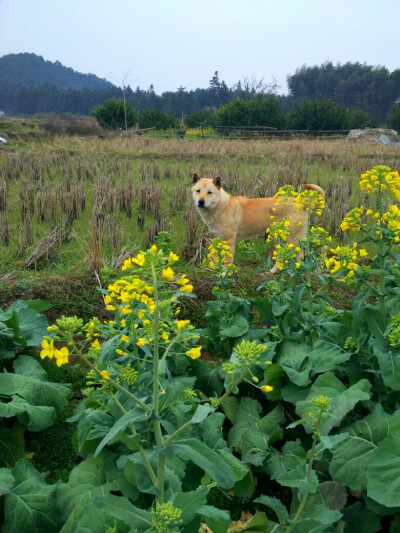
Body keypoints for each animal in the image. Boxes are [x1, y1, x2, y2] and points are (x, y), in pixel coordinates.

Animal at [192, 172, 326, 272]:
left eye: (209, 192)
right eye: (198, 191)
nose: (201, 201)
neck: (221, 206)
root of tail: (301, 202)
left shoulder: (229, 240)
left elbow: (227, 261)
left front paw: (224, 273)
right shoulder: (219, 238)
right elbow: (216, 256)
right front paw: (215, 270)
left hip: (289, 239)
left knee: (287, 255)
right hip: (285, 239)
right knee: (297, 255)